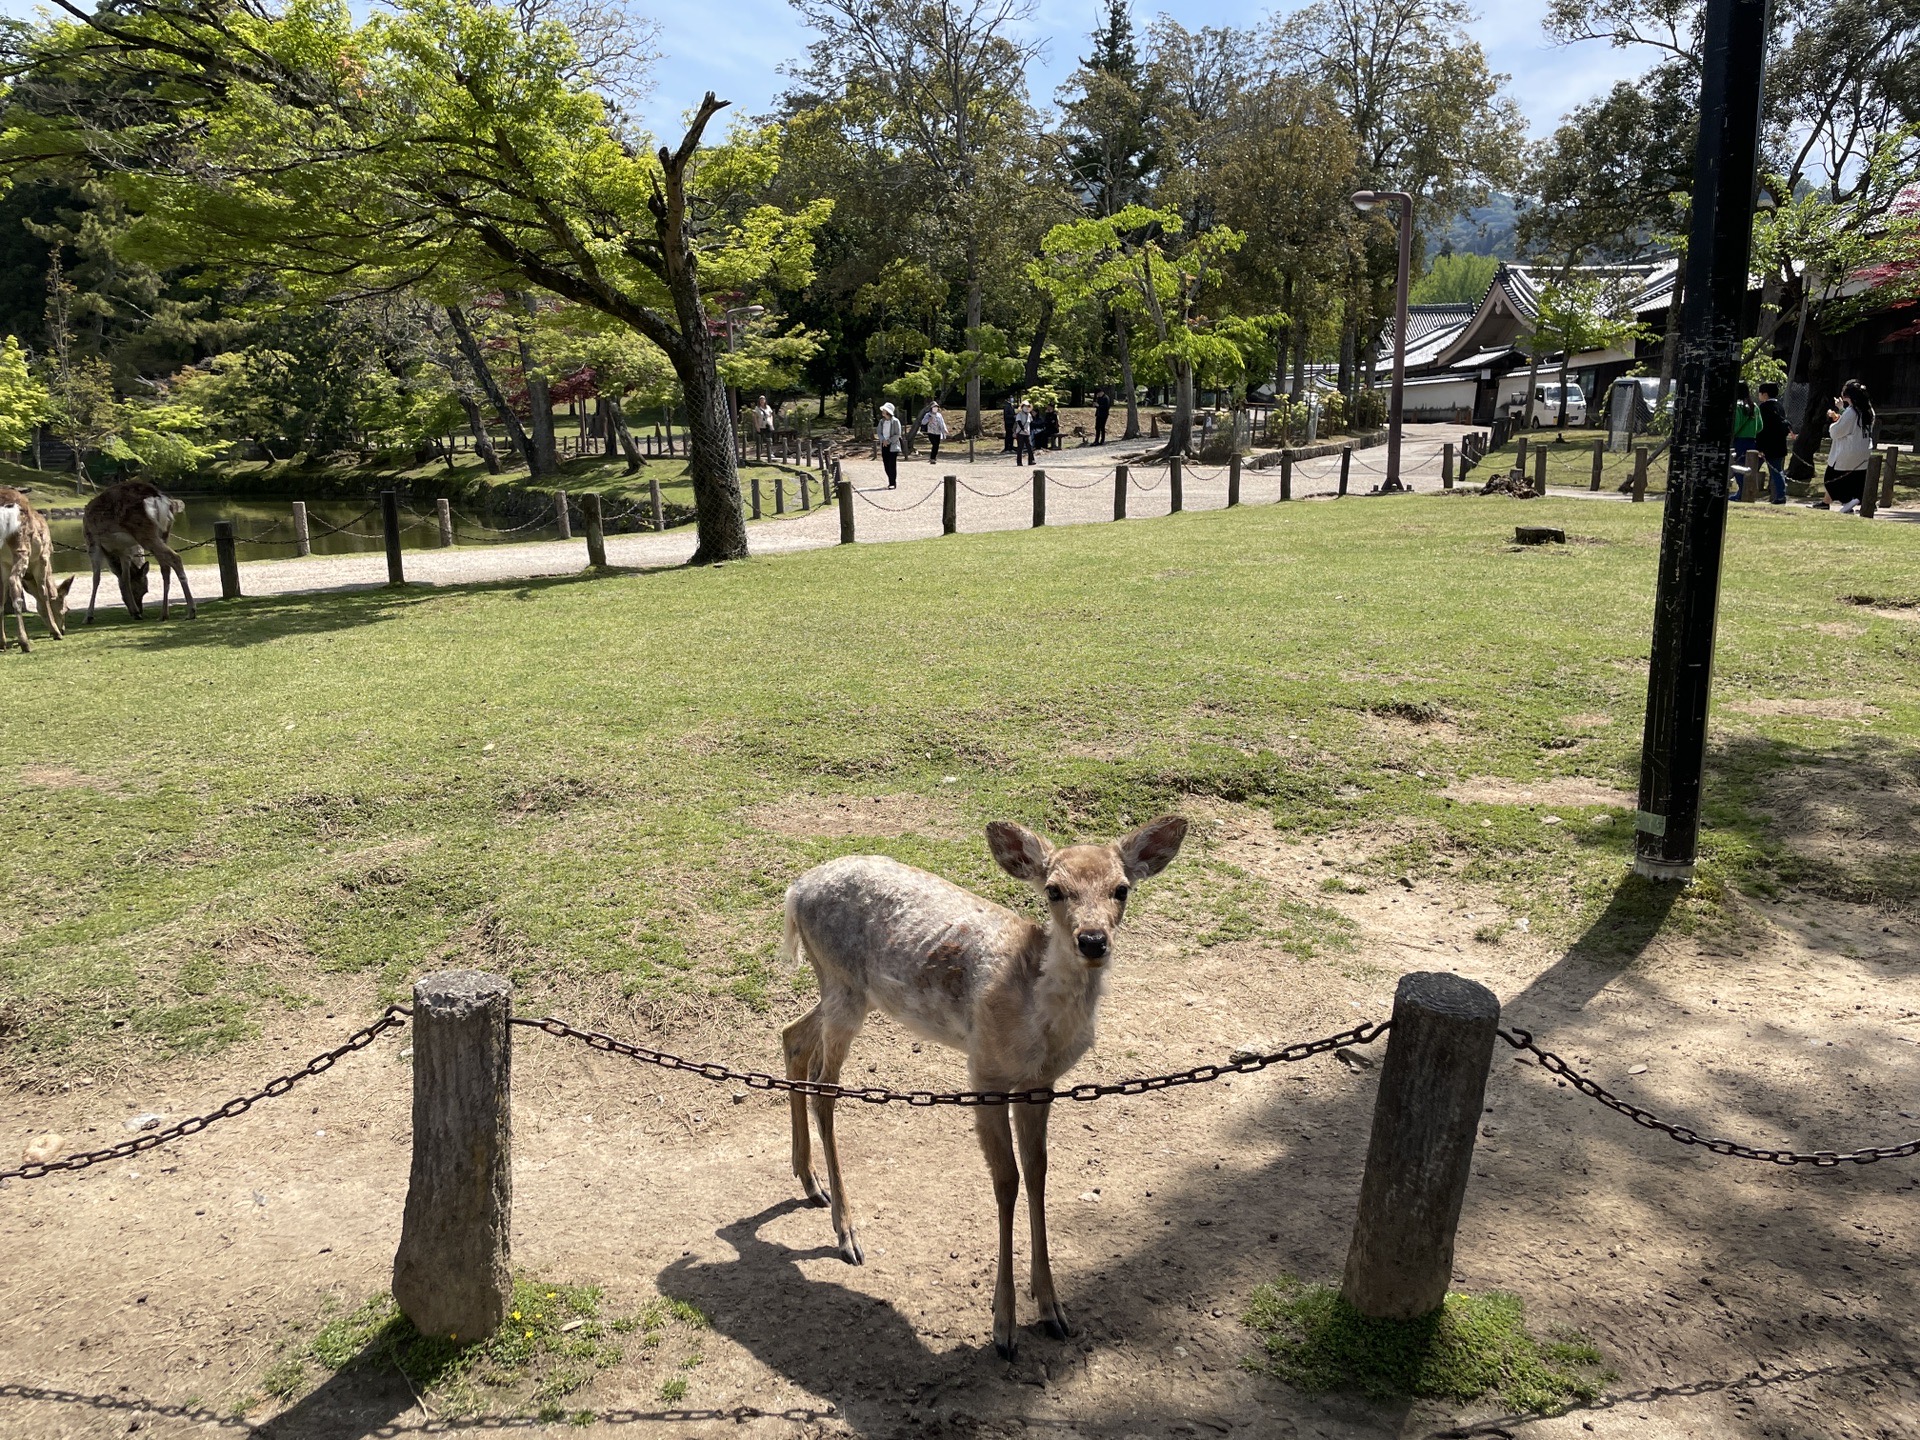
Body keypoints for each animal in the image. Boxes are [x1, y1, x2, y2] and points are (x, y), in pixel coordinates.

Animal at [0, 491, 73, 660]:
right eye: (66, 609)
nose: (64, 629)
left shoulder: (4, 564)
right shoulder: (43, 557)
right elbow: (44, 593)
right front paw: (56, 632)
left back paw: (3, 643)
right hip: (21, 546)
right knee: (14, 582)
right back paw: (25, 643)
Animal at [82, 481, 192, 622]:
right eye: (143, 590)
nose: (140, 610)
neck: (111, 552)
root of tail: (157, 497)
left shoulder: (92, 540)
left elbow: (96, 578)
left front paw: (88, 616)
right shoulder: (124, 550)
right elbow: (125, 577)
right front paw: (135, 612)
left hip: (143, 531)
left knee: (175, 557)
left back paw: (191, 611)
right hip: (164, 533)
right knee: (165, 567)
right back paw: (163, 614)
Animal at [775, 817, 1182, 1359]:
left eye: (1122, 888)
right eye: (1054, 889)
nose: (1093, 940)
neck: (1036, 1016)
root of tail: (795, 892)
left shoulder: (1040, 1084)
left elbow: (1038, 1172)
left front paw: (1052, 1309)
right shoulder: (984, 1071)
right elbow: (1005, 1180)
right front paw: (1004, 1327)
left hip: (844, 991)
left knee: (793, 1037)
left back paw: (809, 1181)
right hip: (842, 984)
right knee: (825, 1087)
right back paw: (846, 1233)